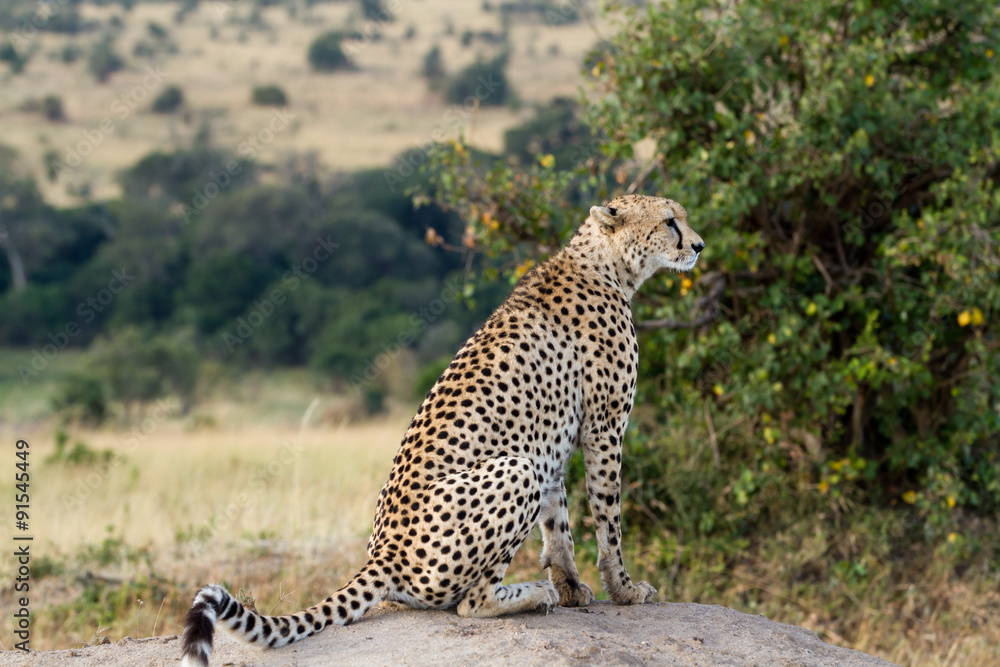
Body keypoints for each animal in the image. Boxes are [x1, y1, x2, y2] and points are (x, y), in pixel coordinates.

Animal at [181, 194, 705, 666]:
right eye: (669, 220)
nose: (699, 246)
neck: (605, 263)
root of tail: (382, 552)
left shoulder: (553, 440)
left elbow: (559, 526)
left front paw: (573, 586)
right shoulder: (604, 428)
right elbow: (608, 520)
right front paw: (625, 589)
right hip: (516, 471)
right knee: (469, 603)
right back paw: (533, 595)